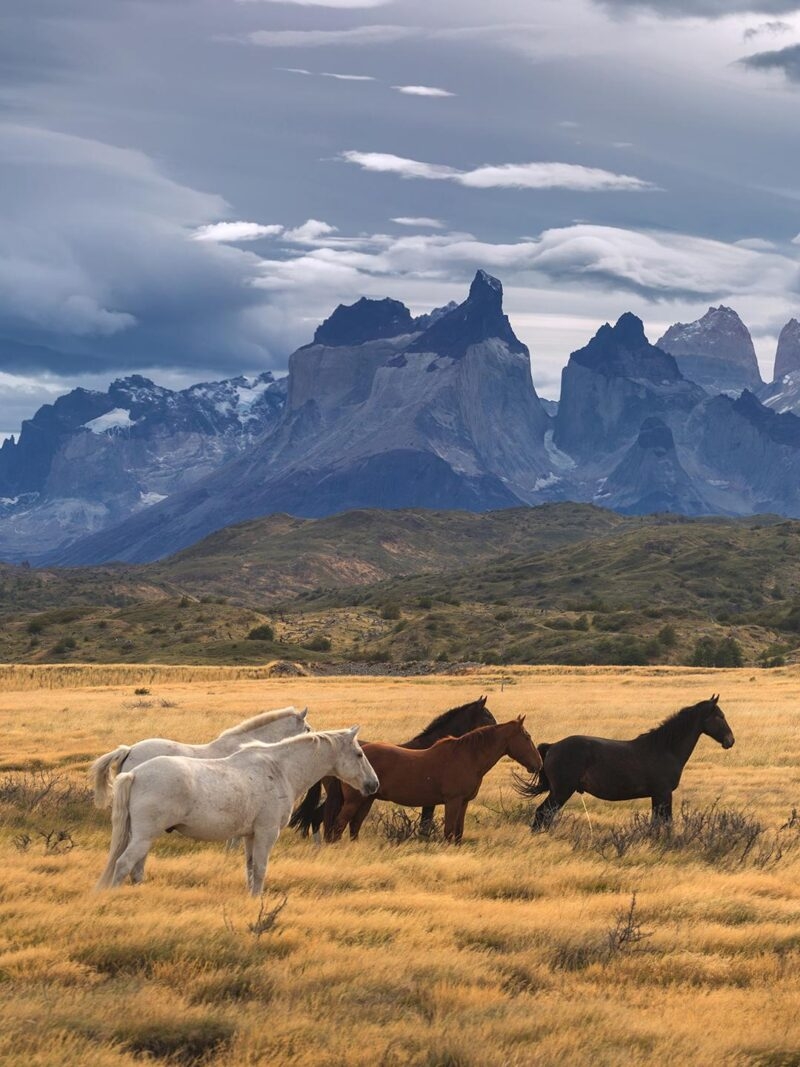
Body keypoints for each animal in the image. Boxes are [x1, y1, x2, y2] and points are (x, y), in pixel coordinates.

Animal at [95, 727, 380, 895]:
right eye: (359, 754)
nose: (373, 784)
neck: (279, 769)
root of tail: (134, 773)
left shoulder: (250, 836)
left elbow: (251, 868)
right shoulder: (266, 833)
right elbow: (261, 869)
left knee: (134, 867)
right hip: (144, 837)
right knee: (123, 864)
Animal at [328, 716, 543, 844]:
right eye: (526, 736)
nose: (538, 764)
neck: (467, 757)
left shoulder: (463, 802)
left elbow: (458, 832)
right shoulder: (453, 801)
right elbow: (449, 831)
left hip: (368, 799)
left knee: (355, 825)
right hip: (354, 800)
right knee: (339, 824)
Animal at [515, 694, 735, 830]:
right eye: (719, 716)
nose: (730, 740)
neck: (665, 748)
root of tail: (553, 747)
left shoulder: (657, 795)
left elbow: (657, 823)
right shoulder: (663, 793)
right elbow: (665, 822)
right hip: (561, 791)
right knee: (543, 814)